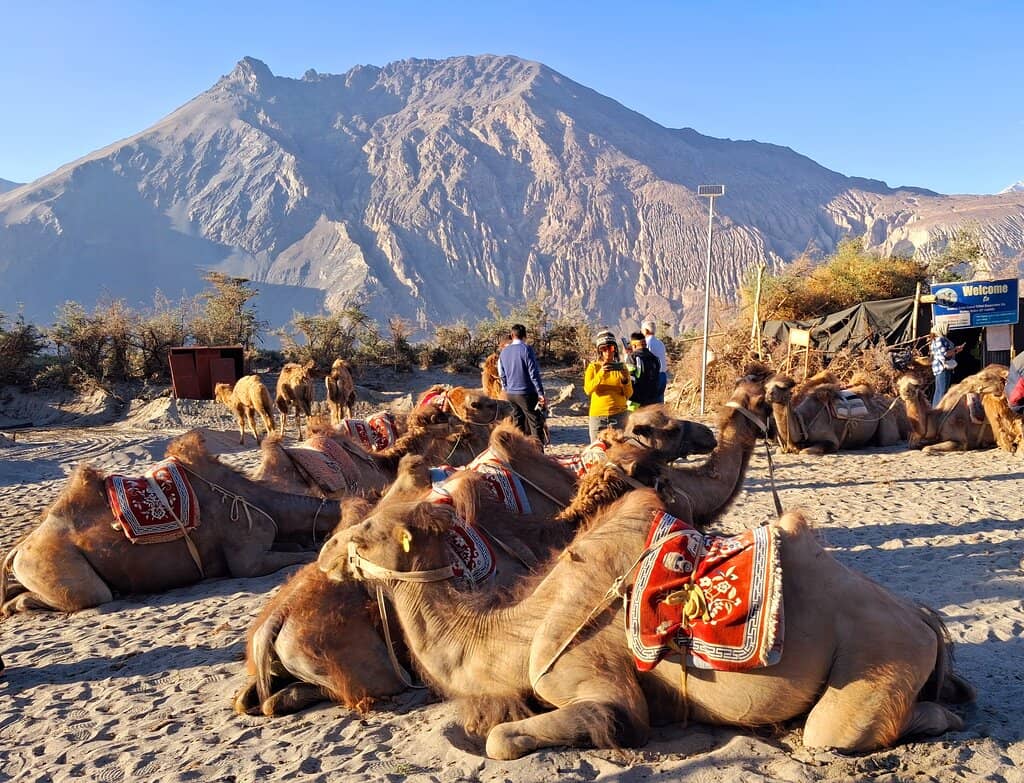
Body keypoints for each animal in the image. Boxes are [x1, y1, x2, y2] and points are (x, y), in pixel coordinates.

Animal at [0, 431, 341, 616]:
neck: (258, 499)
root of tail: (18, 550)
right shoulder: (248, 558)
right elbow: (301, 555)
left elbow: (299, 546)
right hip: (59, 567)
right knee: (91, 596)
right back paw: (15, 606)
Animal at [320, 482, 971, 759]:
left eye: (363, 533)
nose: (323, 555)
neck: (519, 633)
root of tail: (924, 621)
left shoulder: (592, 678)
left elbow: (511, 738)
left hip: (879, 655)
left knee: (835, 732)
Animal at [766, 372, 907, 454]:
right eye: (766, 387)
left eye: (783, 388)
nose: (769, 394)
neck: (803, 422)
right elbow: (779, 450)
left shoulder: (832, 440)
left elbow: (806, 451)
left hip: (887, 419)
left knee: (887, 440)